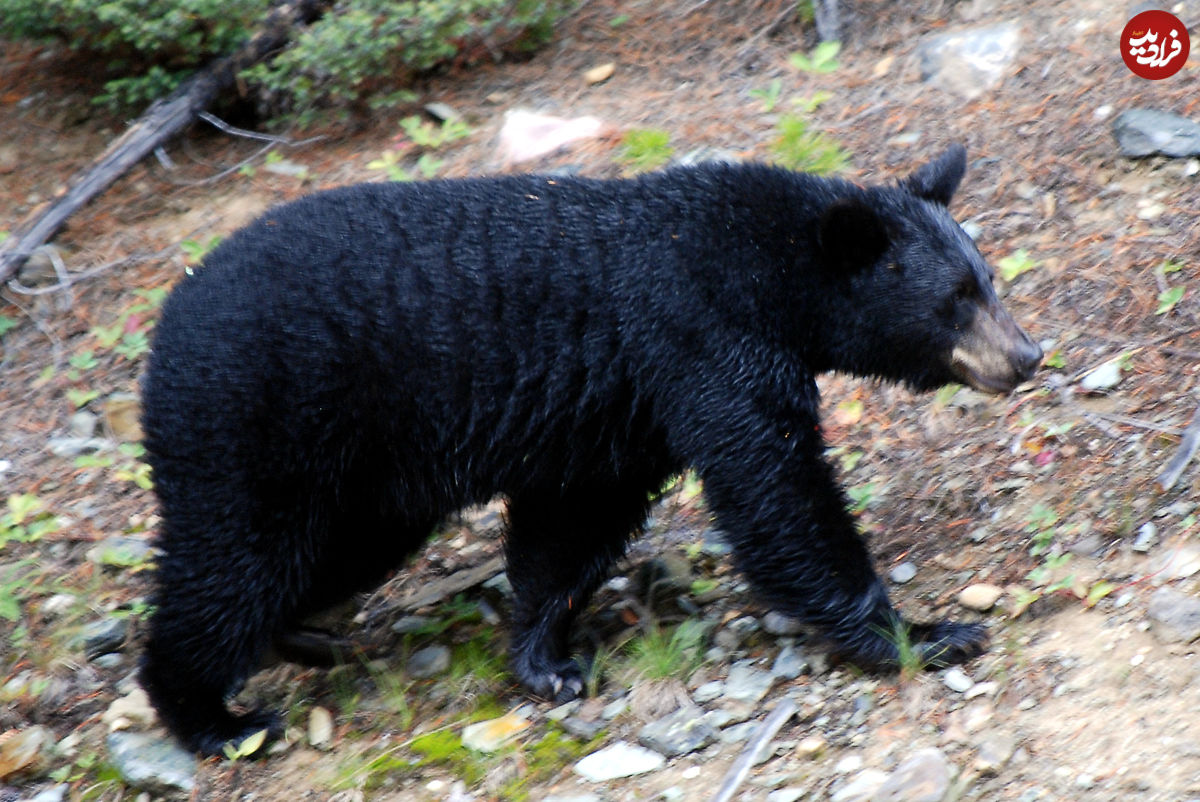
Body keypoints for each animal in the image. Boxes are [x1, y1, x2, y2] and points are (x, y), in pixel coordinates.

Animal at [138, 147, 1041, 753]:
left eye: (987, 277)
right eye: (956, 299)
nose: (1027, 355)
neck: (771, 271)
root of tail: (167, 321)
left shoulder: (625, 410)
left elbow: (573, 527)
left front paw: (546, 661)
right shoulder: (702, 339)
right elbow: (778, 495)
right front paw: (923, 633)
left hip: (363, 475)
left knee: (331, 554)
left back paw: (303, 638)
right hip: (256, 422)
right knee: (235, 562)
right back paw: (213, 718)